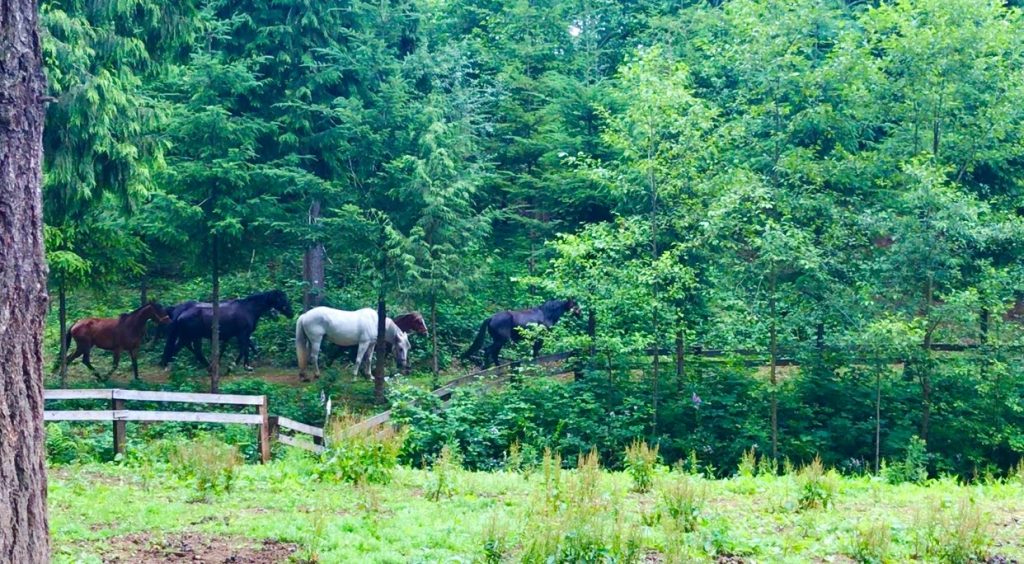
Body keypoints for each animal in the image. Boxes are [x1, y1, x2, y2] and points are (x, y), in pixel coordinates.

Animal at [159, 290, 294, 370]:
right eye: (282, 299)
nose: (291, 313)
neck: (248, 309)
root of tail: (181, 313)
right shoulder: (242, 334)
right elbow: (244, 349)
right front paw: (239, 366)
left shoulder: (237, 335)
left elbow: (248, 347)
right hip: (190, 336)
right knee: (181, 349)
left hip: (191, 337)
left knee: (189, 350)